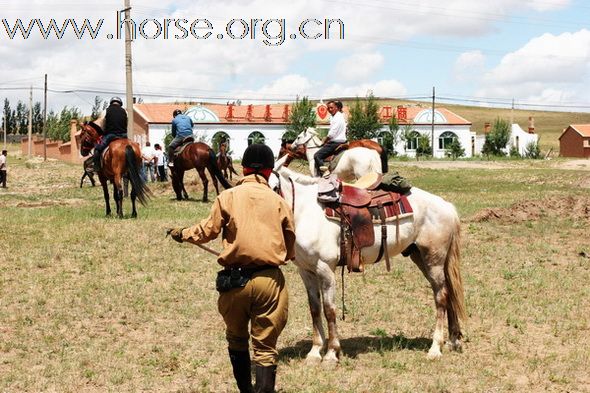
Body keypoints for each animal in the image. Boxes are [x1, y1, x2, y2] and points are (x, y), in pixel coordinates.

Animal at [272, 158, 468, 362]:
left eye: (275, 185)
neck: (306, 212)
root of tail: (446, 205)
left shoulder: (325, 269)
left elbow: (329, 310)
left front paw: (332, 353)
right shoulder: (306, 271)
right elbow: (315, 309)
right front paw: (315, 351)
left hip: (433, 259)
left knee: (441, 296)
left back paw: (435, 348)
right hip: (421, 257)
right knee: (449, 293)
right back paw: (453, 340)